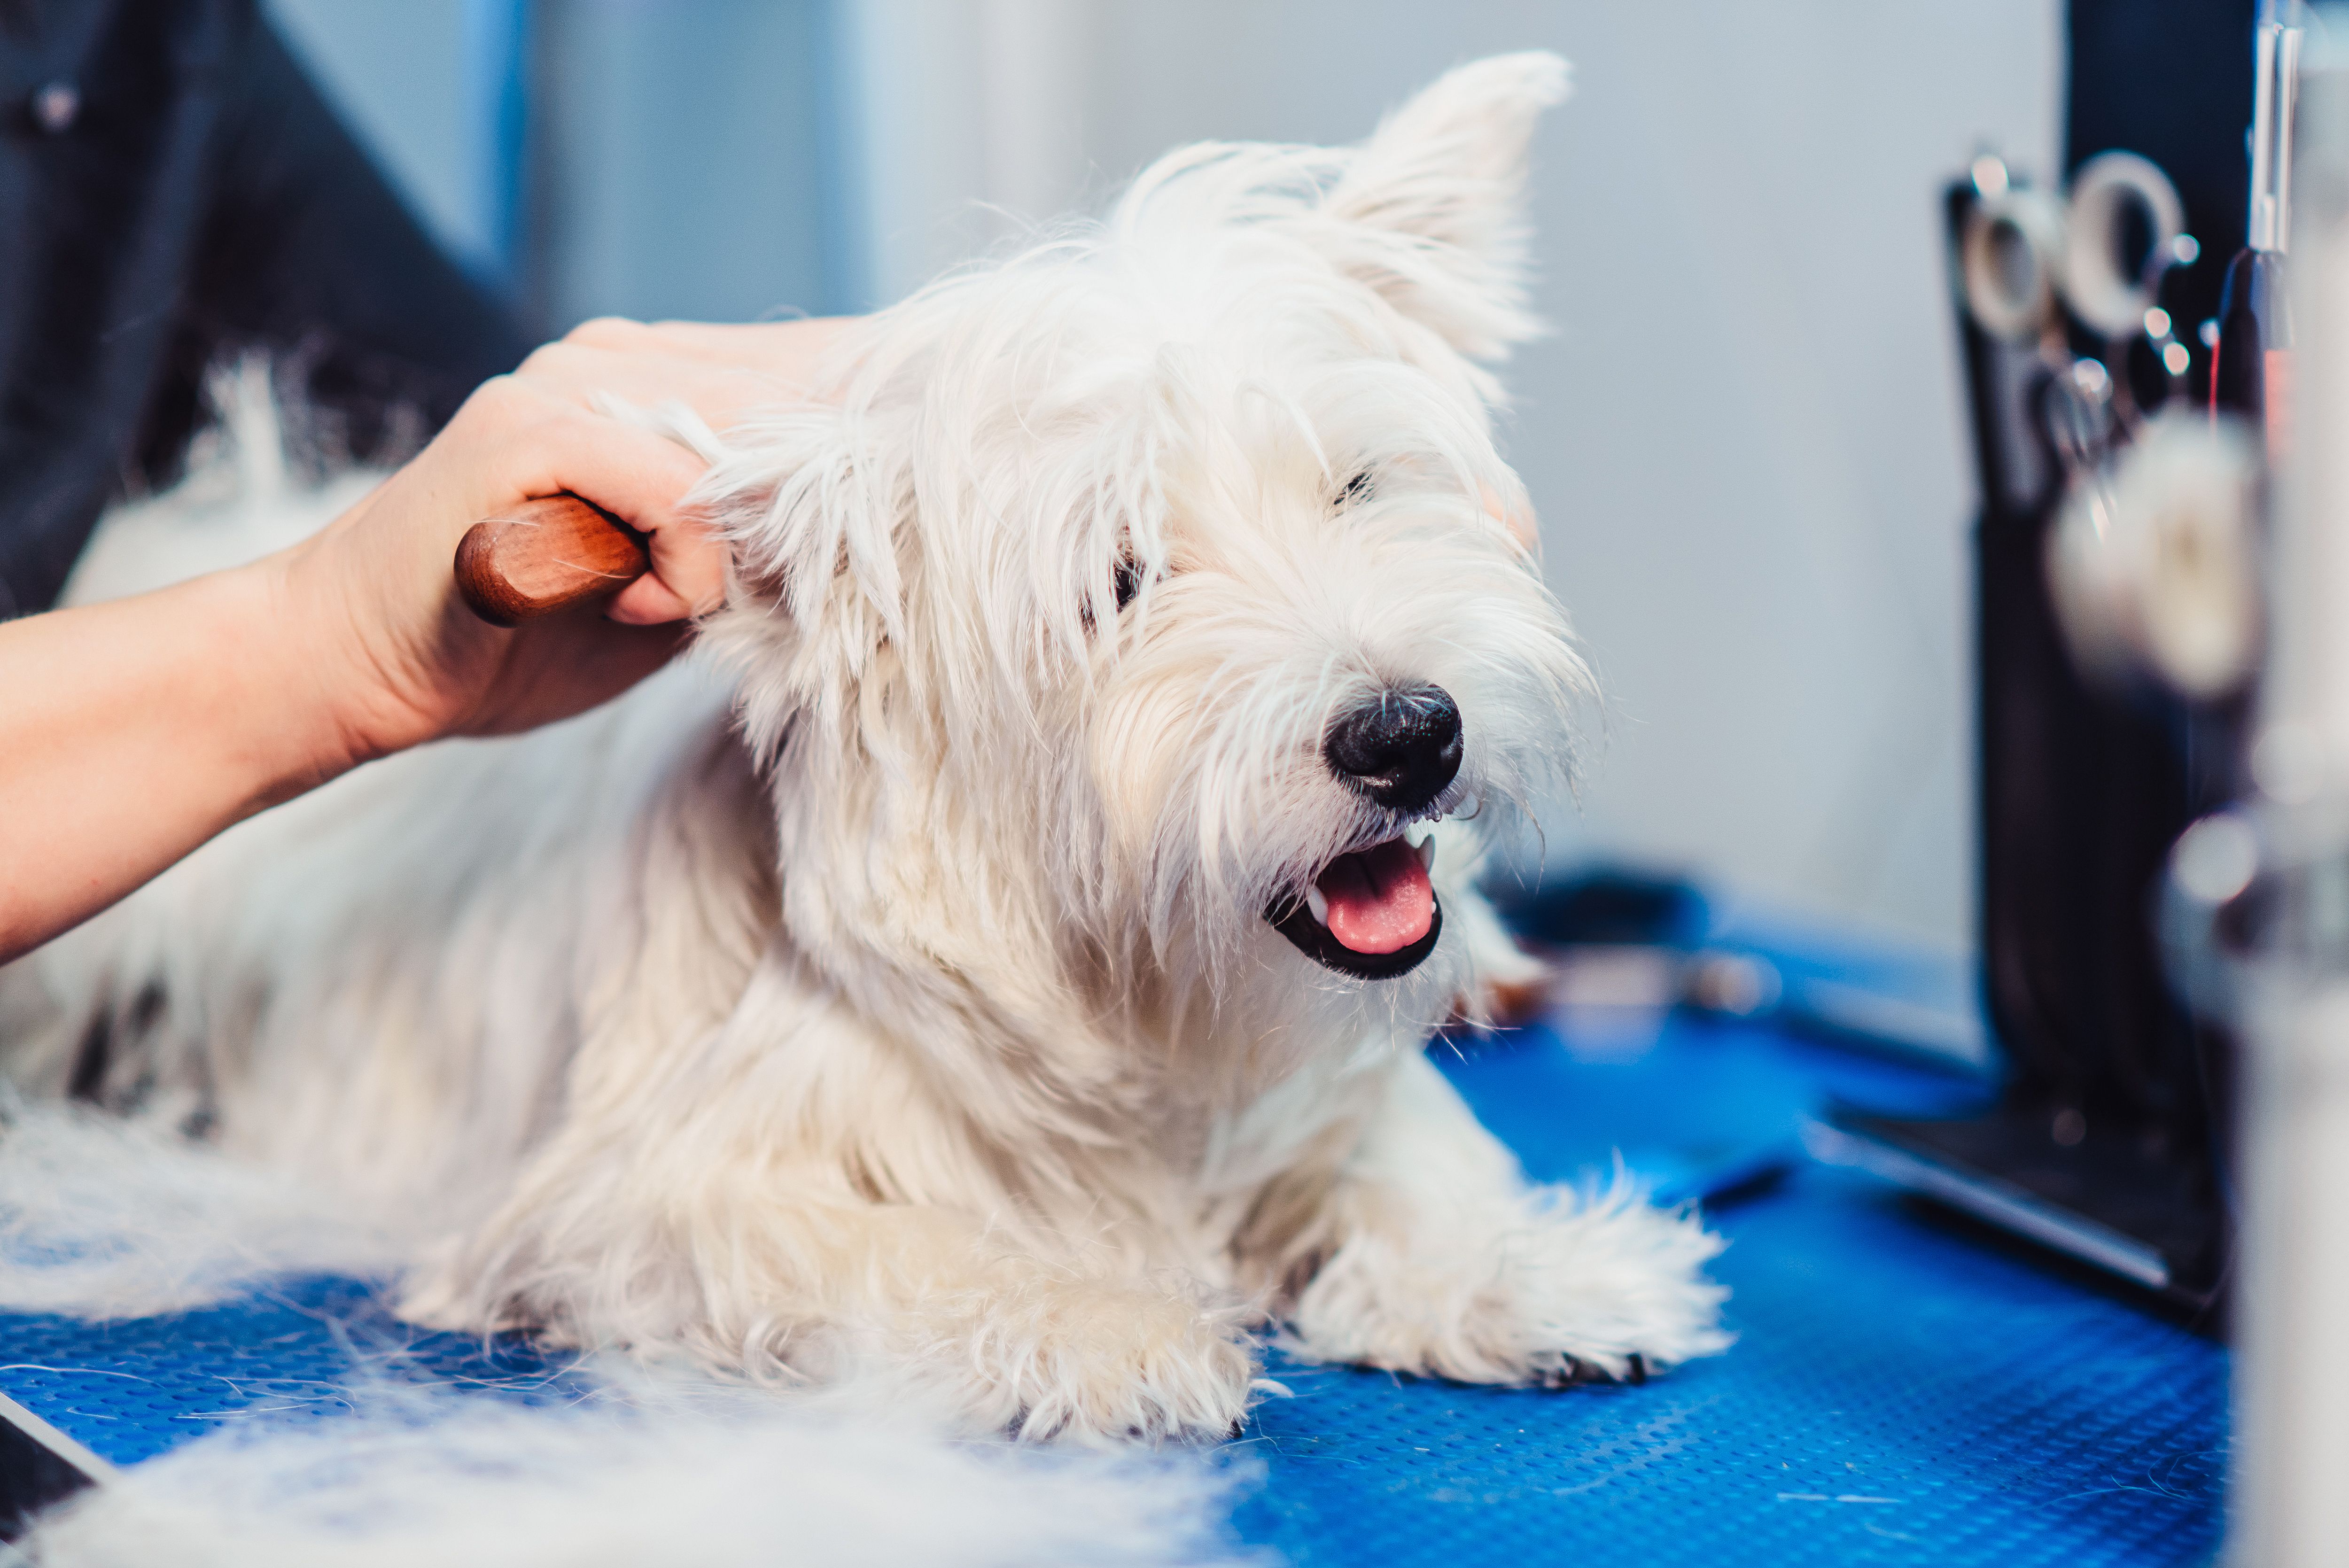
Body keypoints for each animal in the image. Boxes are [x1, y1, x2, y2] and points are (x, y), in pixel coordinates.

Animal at [0, 52, 1729, 1446]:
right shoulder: (628, 1204)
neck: (1137, 1008)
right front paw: (1108, 1323)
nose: (1408, 735)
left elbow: (1401, 1139)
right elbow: (896, 1244)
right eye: (1119, 581)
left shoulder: (1313, 1081)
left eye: (1358, 487)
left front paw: (1512, 1265)